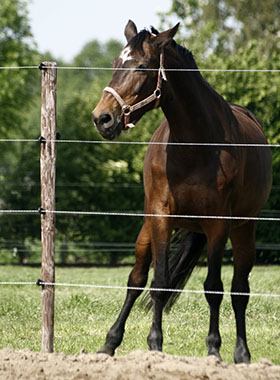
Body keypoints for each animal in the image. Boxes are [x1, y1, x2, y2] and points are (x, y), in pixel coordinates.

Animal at [92, 20, 272, 362]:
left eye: (142, 67)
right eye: (115, 64)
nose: (102, 118)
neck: (194, 145)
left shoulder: (218, 225)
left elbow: (214, 287)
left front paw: (214, 348)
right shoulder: (160, 217)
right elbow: (158, 283)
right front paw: (154, 345)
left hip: (244, 230)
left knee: (240, 289)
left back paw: (242, 353)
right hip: (148, 229)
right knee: (136, 279)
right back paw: (110, 342)